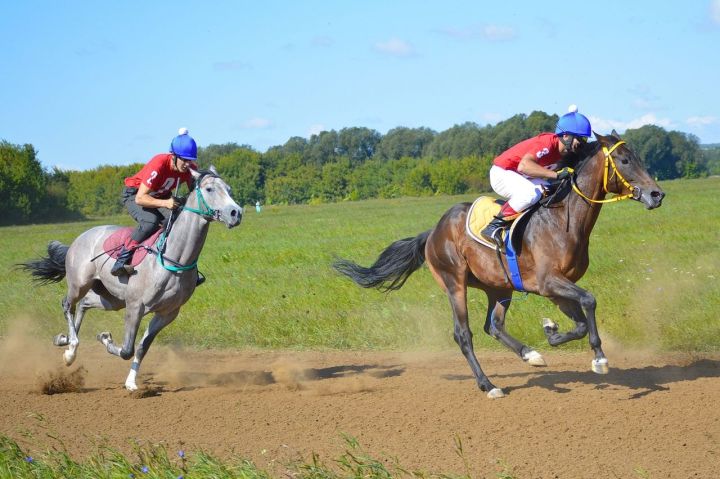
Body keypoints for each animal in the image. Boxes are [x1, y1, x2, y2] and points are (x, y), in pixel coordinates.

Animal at [21, 167, 242, 392]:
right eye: (209, 189)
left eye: (229, 189)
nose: (236, 213)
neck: (174, 257)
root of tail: (81, 237)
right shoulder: (135, 306)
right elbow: (127, 349)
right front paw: (105, 339)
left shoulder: (167, 313)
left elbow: (142, 348)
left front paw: (130, 382)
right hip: (79, 284)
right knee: (68, 304)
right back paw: (70, 350)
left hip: (111, 299)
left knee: (84, 304)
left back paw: (64, 339)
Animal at [334, 131, 668, 398]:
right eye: (625, 160)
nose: (657, 194)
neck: (564, 219)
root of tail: (432, 232)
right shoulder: (549, 281)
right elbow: (589, 300)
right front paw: (599, 358)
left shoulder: (555, 289)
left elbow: (580, 323)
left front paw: (551, 332)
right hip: (454, 282)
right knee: (463, 334)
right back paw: (489, 385)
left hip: (499, 287)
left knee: (493, 325)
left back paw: (530, 354)